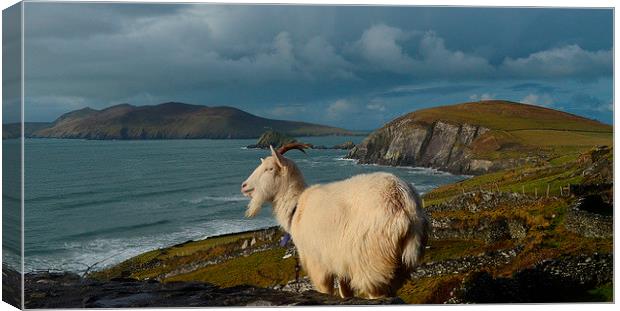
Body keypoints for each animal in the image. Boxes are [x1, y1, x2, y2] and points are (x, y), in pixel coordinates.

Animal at [240, 144, 428, 300]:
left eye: (269, 168)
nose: (244, 186)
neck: (296, 205)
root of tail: (402, 201)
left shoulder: (318, 263)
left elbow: (325, 290)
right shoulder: (342, 265)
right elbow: (345, 293)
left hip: (373, 263)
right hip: (399, 267)